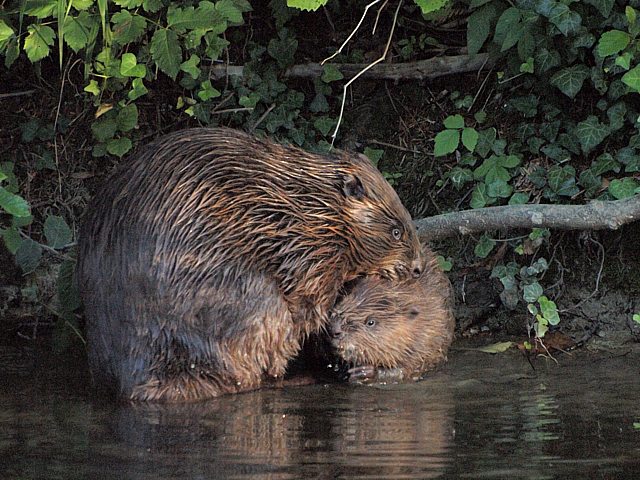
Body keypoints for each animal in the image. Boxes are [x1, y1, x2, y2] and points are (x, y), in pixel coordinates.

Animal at [76, 126, 424, 402]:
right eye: (396, 231)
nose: (418, 268)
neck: (314, 207)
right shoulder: (306, 254)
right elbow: (309, 307)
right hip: (248, 302)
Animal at [330, 249, 456, 384]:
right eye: (347, 295)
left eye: (371, 322)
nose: (335, 329)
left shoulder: (429, 339)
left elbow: (408, 369)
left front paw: (364, 372)